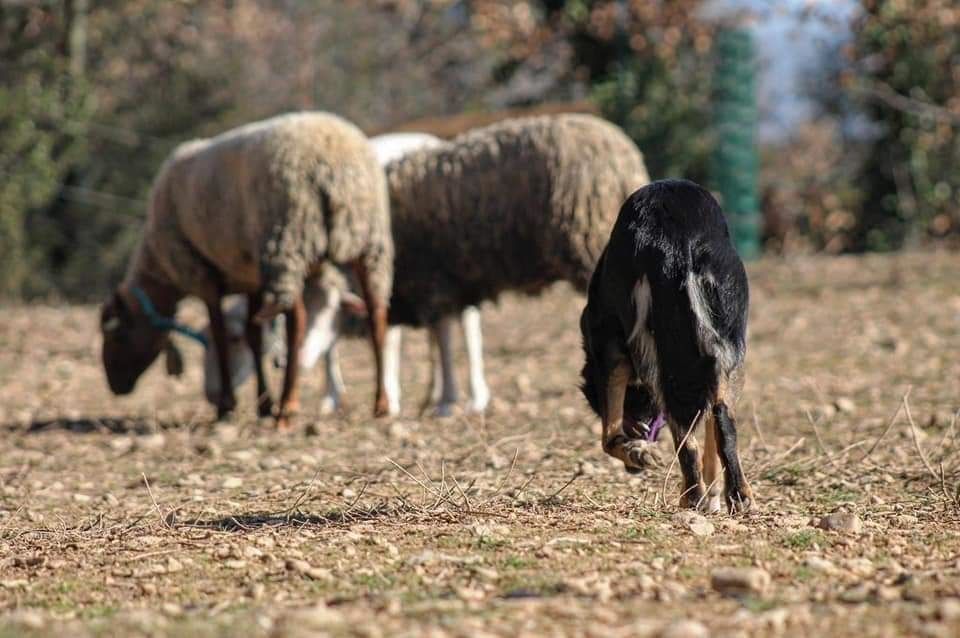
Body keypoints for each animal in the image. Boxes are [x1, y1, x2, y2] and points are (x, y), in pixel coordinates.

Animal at [98, 112, 394, 428]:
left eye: (116, 335)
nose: (115, 387)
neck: (160, 271)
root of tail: (335, 162)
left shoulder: (202, 275)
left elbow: (219, 334)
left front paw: (228, 405)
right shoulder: (250, 277)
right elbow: (253, 335)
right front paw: (263, 404)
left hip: (288, 242)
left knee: (298, 321)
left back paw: (288, 407)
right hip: (370, 242)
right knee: (377, 315)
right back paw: (381, 404)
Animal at [580, 179, 752, 516]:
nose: (633, 470)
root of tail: (677, 240)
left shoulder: (608, 347)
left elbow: (609, 436)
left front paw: (637, 453)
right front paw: (715, 494)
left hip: (647, 353)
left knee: (678, 434)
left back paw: (690, 495)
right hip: (727, 345)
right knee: (721, 417)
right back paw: (737, 494)